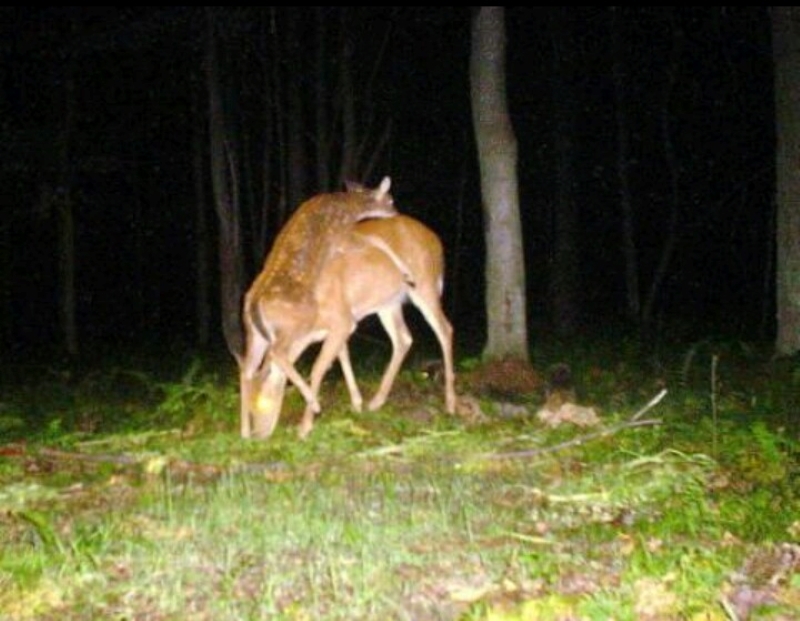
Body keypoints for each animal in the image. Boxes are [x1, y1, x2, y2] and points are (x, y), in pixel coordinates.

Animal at [239, 180, 456, 440]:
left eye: (262, 404)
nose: (258, 435)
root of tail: (437, 241)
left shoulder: (342, 319)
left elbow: (319, 367)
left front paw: (306, 426)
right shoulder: (337, 324)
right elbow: (340, 356)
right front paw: (355, 403)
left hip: (426, 286)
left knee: (444, 329)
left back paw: (450, 403)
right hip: (388, 302)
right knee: (403, 338)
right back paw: (376, 401)